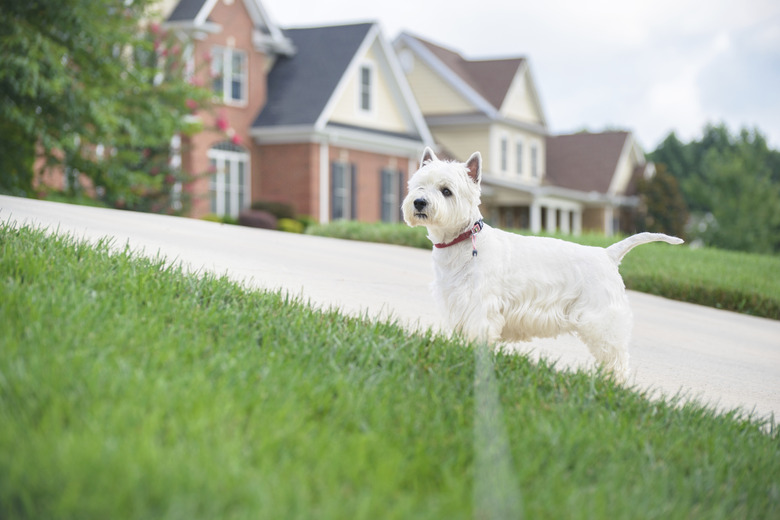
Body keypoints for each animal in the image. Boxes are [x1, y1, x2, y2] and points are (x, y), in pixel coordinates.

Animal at [402, 148, 684, 380]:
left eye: (446, 191)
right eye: (418, 186)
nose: (419, 202)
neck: (460, 241)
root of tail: (608, 254)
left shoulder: (480, 306)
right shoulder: (456, 302)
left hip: (602, 320)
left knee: (616, 358)